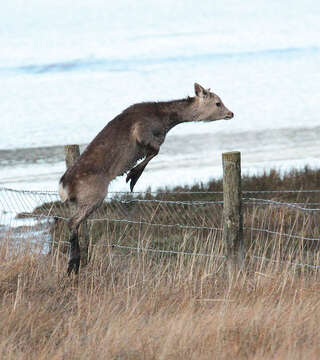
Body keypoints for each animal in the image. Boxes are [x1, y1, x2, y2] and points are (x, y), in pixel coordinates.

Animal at [58, 82, 232, 272]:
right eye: (217, 103)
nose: (231, 113)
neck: (164, 122)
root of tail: (64, 188)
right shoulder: (141, 131)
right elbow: (156, 150)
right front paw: (132, 175)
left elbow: (154, 152)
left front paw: (132, 174)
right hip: (94, 194)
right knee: (72, 221)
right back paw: (73, 262)